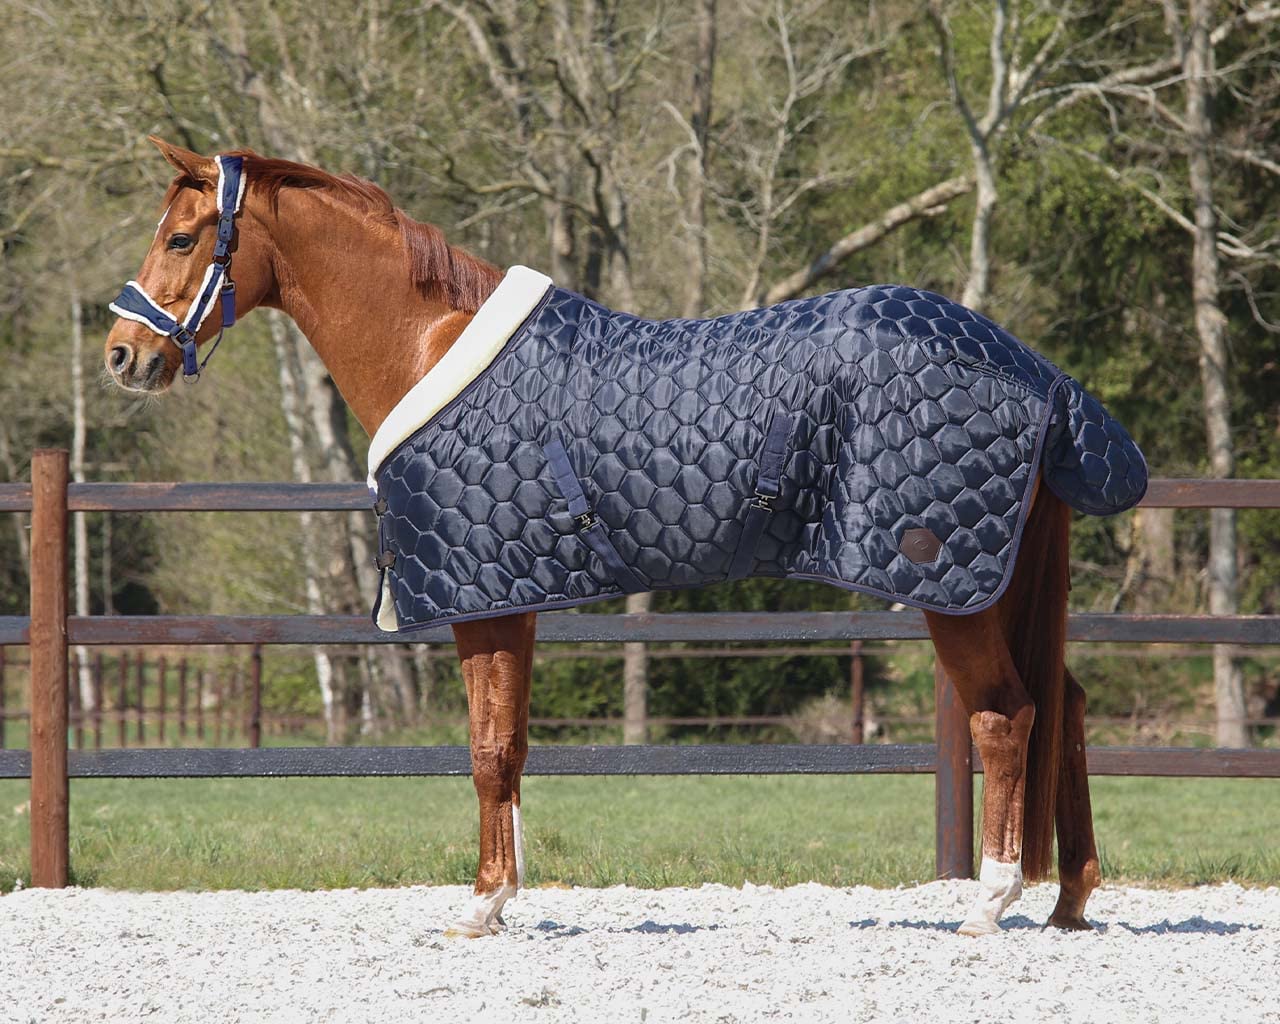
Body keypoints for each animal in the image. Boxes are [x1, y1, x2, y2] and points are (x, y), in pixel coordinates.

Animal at [105, 138, 1104, 938]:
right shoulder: (506, 597)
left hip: (952, 588)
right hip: (1000, 583)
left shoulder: (485, 601)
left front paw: (479, 907)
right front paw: (500, 897)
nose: (122, 355)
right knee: (1065, 704)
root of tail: (1038, 375)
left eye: (183, 239)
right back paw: (1071, 899)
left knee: (1006, 716)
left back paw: (991, 902)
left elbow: (487, 752)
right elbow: (507, 747)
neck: (431, 343)